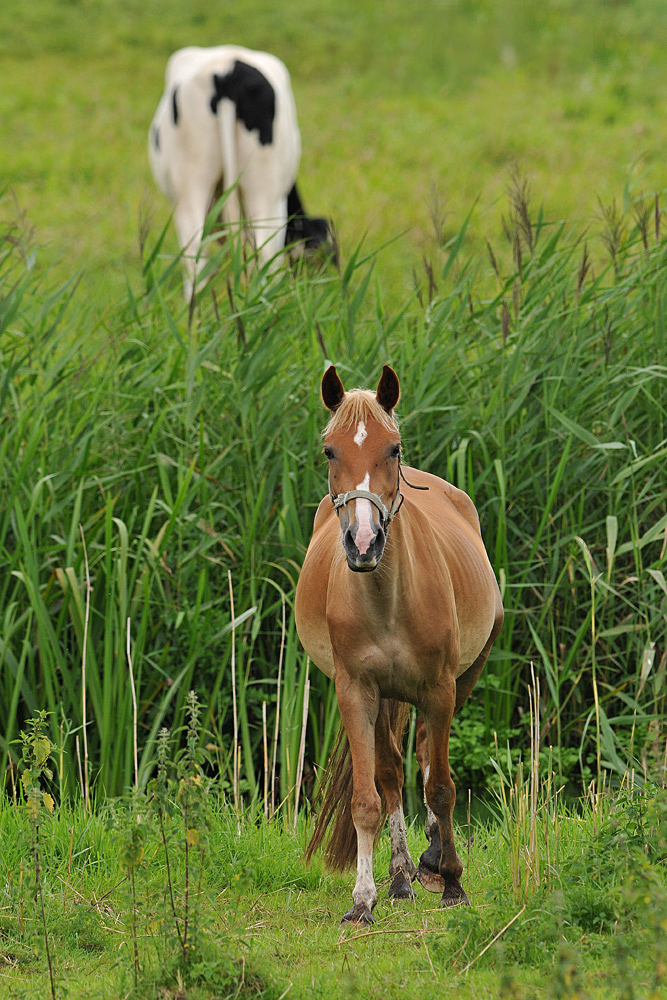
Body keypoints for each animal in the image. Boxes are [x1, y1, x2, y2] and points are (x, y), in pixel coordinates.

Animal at [149, 46, 332, 296]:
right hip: (265, 192)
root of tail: (229, 72)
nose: (320, 284)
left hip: (191, 187)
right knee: (265, 254)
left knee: (197, 258)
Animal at [294, 366, 504, 920]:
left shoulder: (440, 690)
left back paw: (431, 860)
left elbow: (442, 787)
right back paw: (403, 875)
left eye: (393, 449)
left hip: (464, 679)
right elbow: (369, 797)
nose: (364, 543)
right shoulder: (355, 691)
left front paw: (452, 880)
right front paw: (363, 898)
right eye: (329, 451)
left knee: (429, 756)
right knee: (391, 774)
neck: (387, 600)